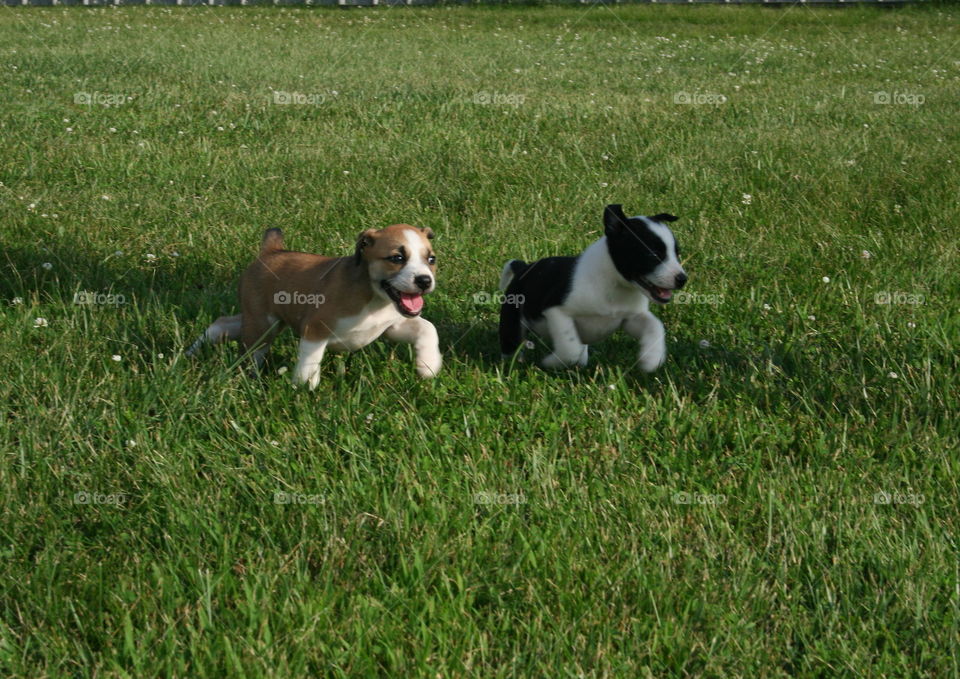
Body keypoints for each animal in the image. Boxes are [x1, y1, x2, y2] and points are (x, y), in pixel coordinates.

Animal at [186, 224, 440, 388]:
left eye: (431, 259)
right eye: (397, 258)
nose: (424, 281)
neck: (373, 295)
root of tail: (271, 252)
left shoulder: (392, 326)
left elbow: (428, 328)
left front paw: (428, 364)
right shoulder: (315, 329)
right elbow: (310, 358)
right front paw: (305, 387)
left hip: (263, 320)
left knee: (222, 324)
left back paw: (191, 352)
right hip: (261, 324)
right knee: (252, 349)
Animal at [498, 205, 688, 370]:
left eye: (677, 253)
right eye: (653, 255)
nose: (682, 279)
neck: (614, 283)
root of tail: (523, 268)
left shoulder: (631, 318)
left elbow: (655, 326)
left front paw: (652, 358)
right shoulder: (556, 312)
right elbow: (570, 348)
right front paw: (552, 362)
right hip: (512, 320)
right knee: (511, 344)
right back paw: (512, 365)